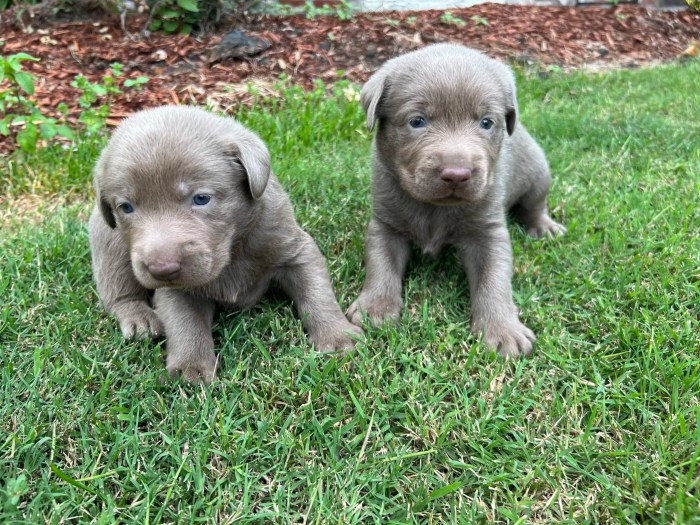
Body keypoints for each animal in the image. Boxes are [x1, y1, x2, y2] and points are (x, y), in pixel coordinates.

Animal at [91, 104, 364, 380]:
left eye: (201, 198)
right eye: (126, 207)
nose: (162, 270)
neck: (233, 248)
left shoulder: (294, 249)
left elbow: (316, 292)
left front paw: (337, 336)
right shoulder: (176, 289)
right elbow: (184, 321)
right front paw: (191, 367)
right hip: (109, 241)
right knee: (118, 292)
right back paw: (140, 320)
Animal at [348, 44, 568, 356]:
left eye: (486, 122)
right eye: (417, 121)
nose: (457, 174)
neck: (436, 209)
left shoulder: (488, 230)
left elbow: (494, 279)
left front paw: (503, 330)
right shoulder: (385, 224)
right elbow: (381, 263)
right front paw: (375, 308)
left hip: (537, 171)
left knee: (535, 204)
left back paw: (544, 227)